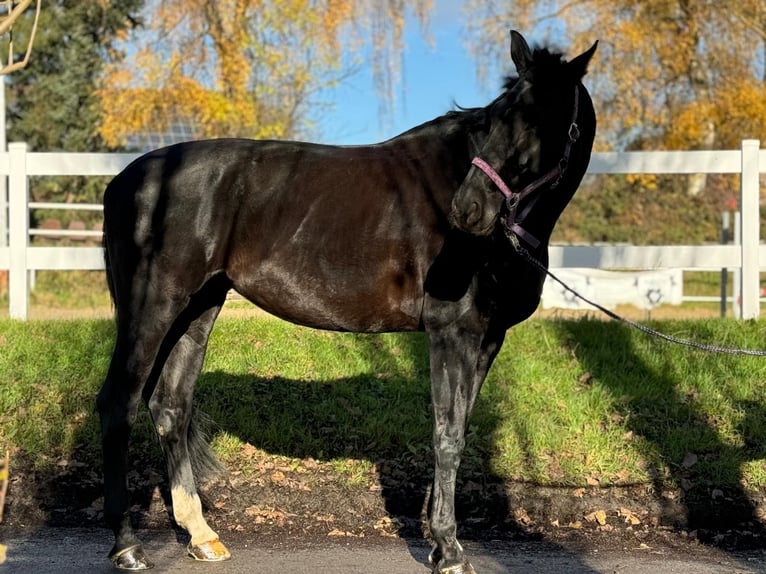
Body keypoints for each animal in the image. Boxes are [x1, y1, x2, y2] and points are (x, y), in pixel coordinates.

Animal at [97, 31, 600, 574]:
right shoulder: (452, 333)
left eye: (543, 118)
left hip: (197, 309)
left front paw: (436, 534)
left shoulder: (489, 339)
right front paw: (449, 550)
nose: (469, 208)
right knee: (118, 405)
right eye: (498, 116)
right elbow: (447, 436)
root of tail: (123, 181)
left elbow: (459, 428)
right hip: (153, 306)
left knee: (170, 406)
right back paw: (128, 546)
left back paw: (200, 534)